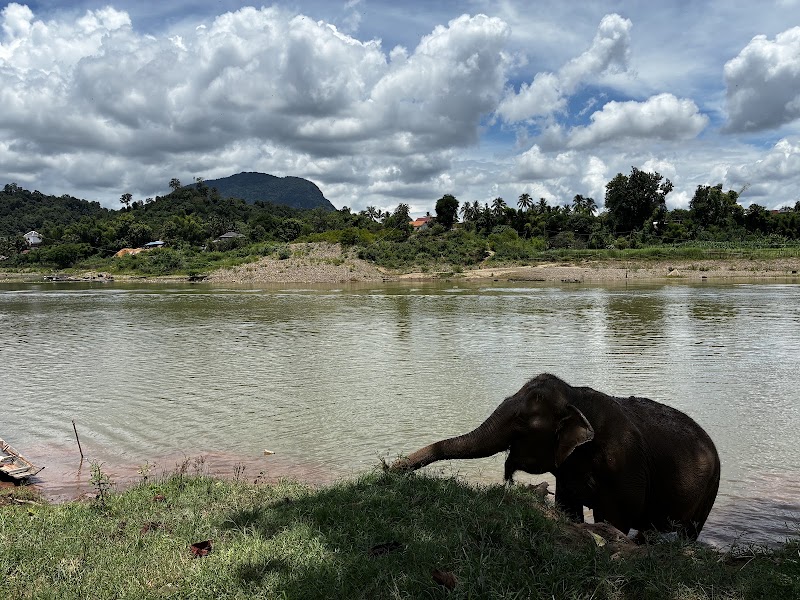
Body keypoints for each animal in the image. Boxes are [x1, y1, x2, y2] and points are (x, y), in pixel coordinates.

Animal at [393, 373, 720, 540]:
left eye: (521, 422)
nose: (391, 468)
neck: (576, 396)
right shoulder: (567, 472)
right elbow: (567, 509)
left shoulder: (624, 466)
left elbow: (615, 518)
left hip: (710, 490)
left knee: (689, 532)